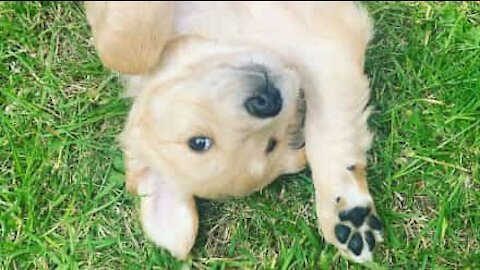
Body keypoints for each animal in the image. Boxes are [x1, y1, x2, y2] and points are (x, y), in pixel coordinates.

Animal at [83, 1, 382, 264]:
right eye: (271, 144)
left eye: (198, 142)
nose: (267, 101)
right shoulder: (327, 49)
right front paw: (347, 211)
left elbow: (122, 51)